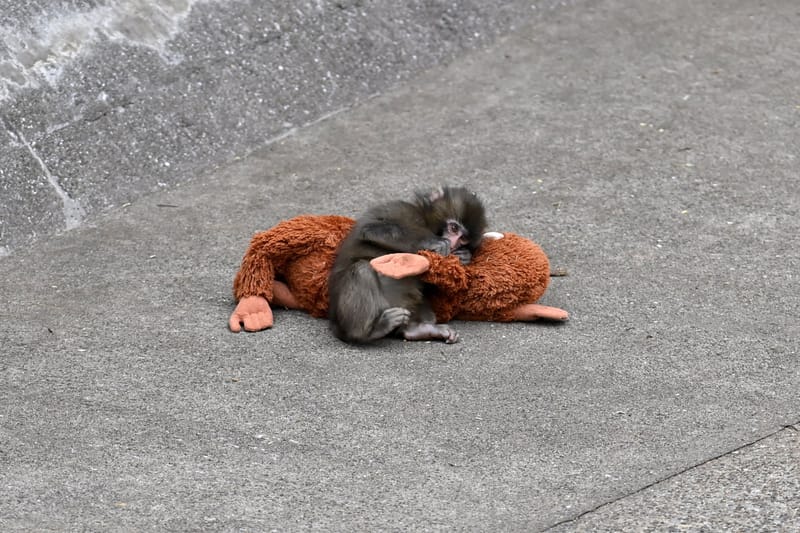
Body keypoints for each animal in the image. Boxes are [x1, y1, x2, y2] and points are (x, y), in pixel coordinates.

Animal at [328, 186, 487, 344]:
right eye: (453, 228)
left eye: (463, 239)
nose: (454, 244)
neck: (424, 221)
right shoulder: (400, 209)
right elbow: (370, 229)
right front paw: (433, 242)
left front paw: (464, 256)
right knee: (362, 270)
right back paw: (368, 331)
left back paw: (416, 330)